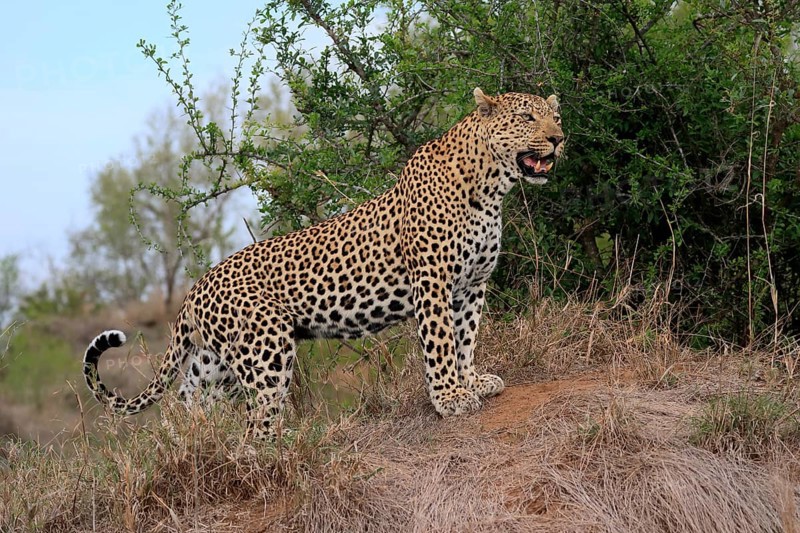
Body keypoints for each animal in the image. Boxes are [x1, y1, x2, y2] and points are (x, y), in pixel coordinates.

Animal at [83, 88, 564, 438]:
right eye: (527, 118)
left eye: (554, 117)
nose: (558, 139)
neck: (490, 188)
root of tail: (194, 289)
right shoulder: (433, 282)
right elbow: (441, 343)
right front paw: (450, 398)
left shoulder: (472, 285)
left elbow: (465, 339)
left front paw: (472, 382)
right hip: (267, 349)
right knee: (259, 421)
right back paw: (285, 449)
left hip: (214, 364)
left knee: (188, 407)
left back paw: (193, 448)